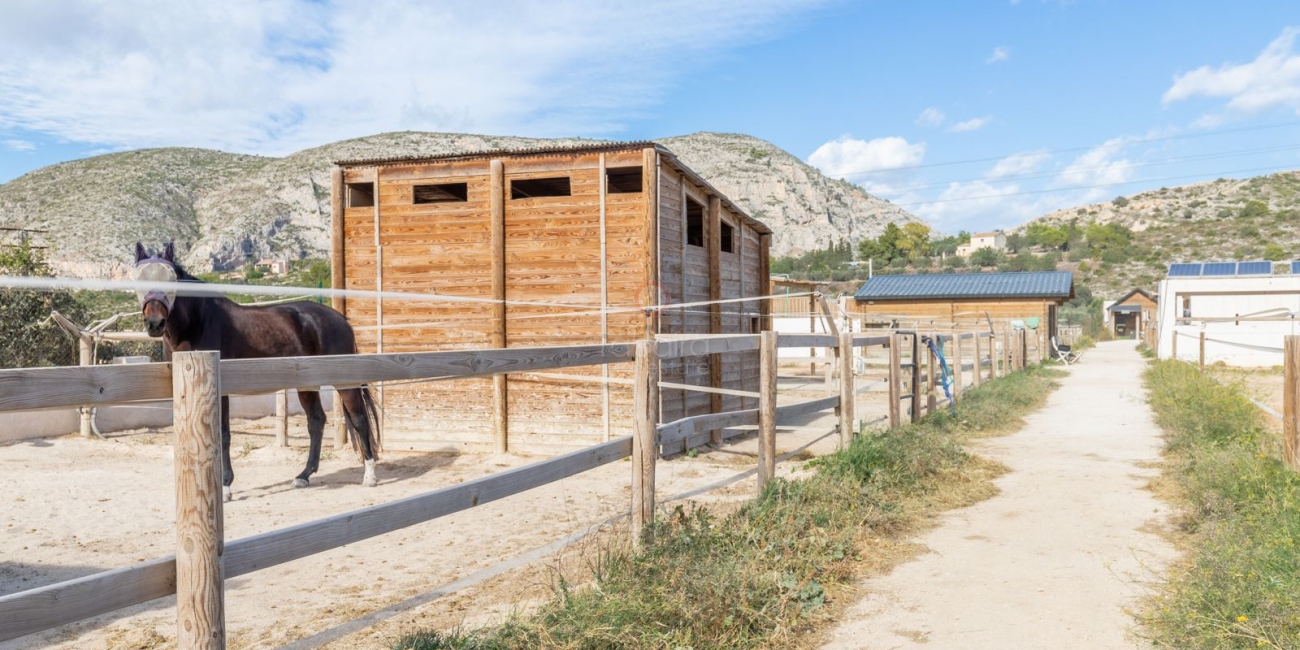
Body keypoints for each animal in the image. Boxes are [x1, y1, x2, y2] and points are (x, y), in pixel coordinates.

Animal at [135, 241, 379, 499]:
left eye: (171, 279)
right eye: (139, 278)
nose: (154, 323)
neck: (196, 323)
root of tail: (342, 320)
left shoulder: (220, 390)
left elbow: (223, 434)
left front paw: (225, 487)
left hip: (345, 383)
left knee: (359, 419)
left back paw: (369, 476)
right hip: (307, 384)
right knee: (316, 421)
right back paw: (303, 476)